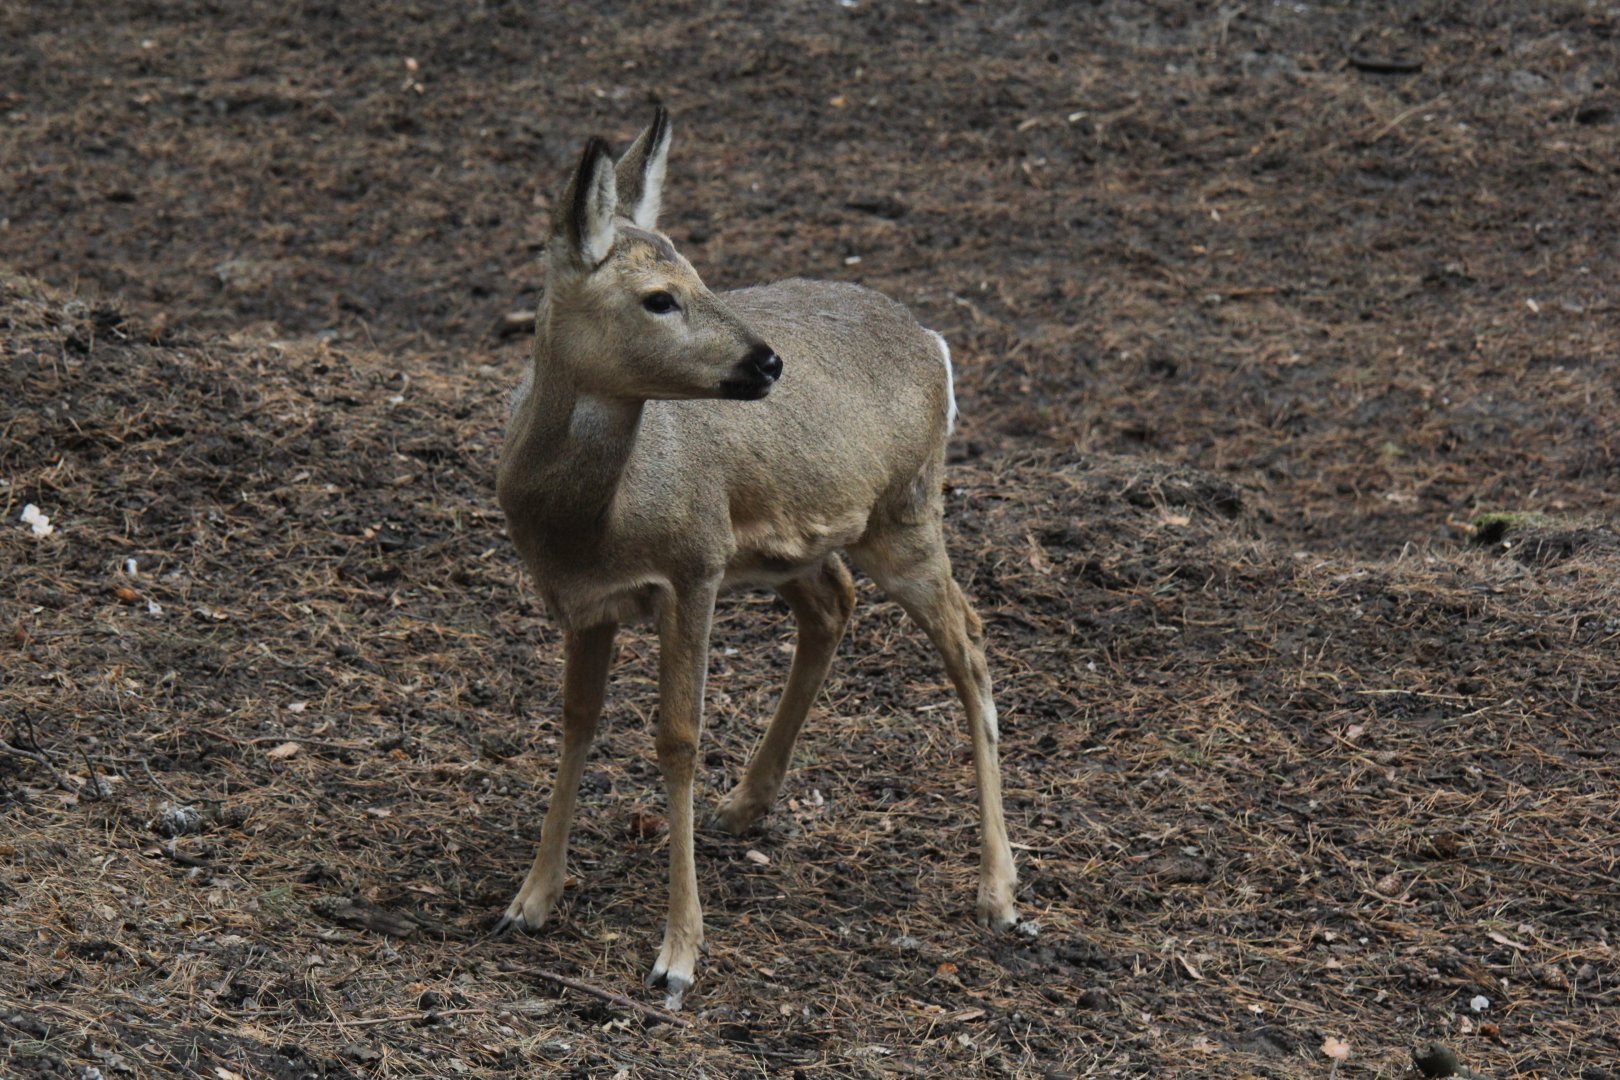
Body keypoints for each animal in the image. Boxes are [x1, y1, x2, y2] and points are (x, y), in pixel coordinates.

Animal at [493, 108, 1019, 1008]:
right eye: (659, 298)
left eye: (704, 277)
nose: (767, 360)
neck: (591, 520)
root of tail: (935, 342)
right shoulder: (581, 601)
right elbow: (576, 719)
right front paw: (531, 900)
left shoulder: (695, 565)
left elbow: (678, 737)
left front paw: (678, 953)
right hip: (807, 542)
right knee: (835, 603)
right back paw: (744, 804)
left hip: (907, 511)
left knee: (970, 639)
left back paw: (999, 890)